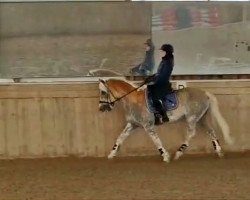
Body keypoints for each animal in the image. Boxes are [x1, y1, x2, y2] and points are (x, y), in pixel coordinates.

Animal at [98, 78, 234, 162]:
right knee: (210, 131)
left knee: (191, 133)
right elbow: (120, 137)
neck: (133, 100)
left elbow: (156, 141)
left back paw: (179, 153)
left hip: (192, 118)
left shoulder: (148, 126)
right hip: (201, 118)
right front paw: (111, 154)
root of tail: (205, 92)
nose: (101, 108)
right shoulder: (132, 124)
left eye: (103, 92)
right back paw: (219, 152)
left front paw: (165, 156)